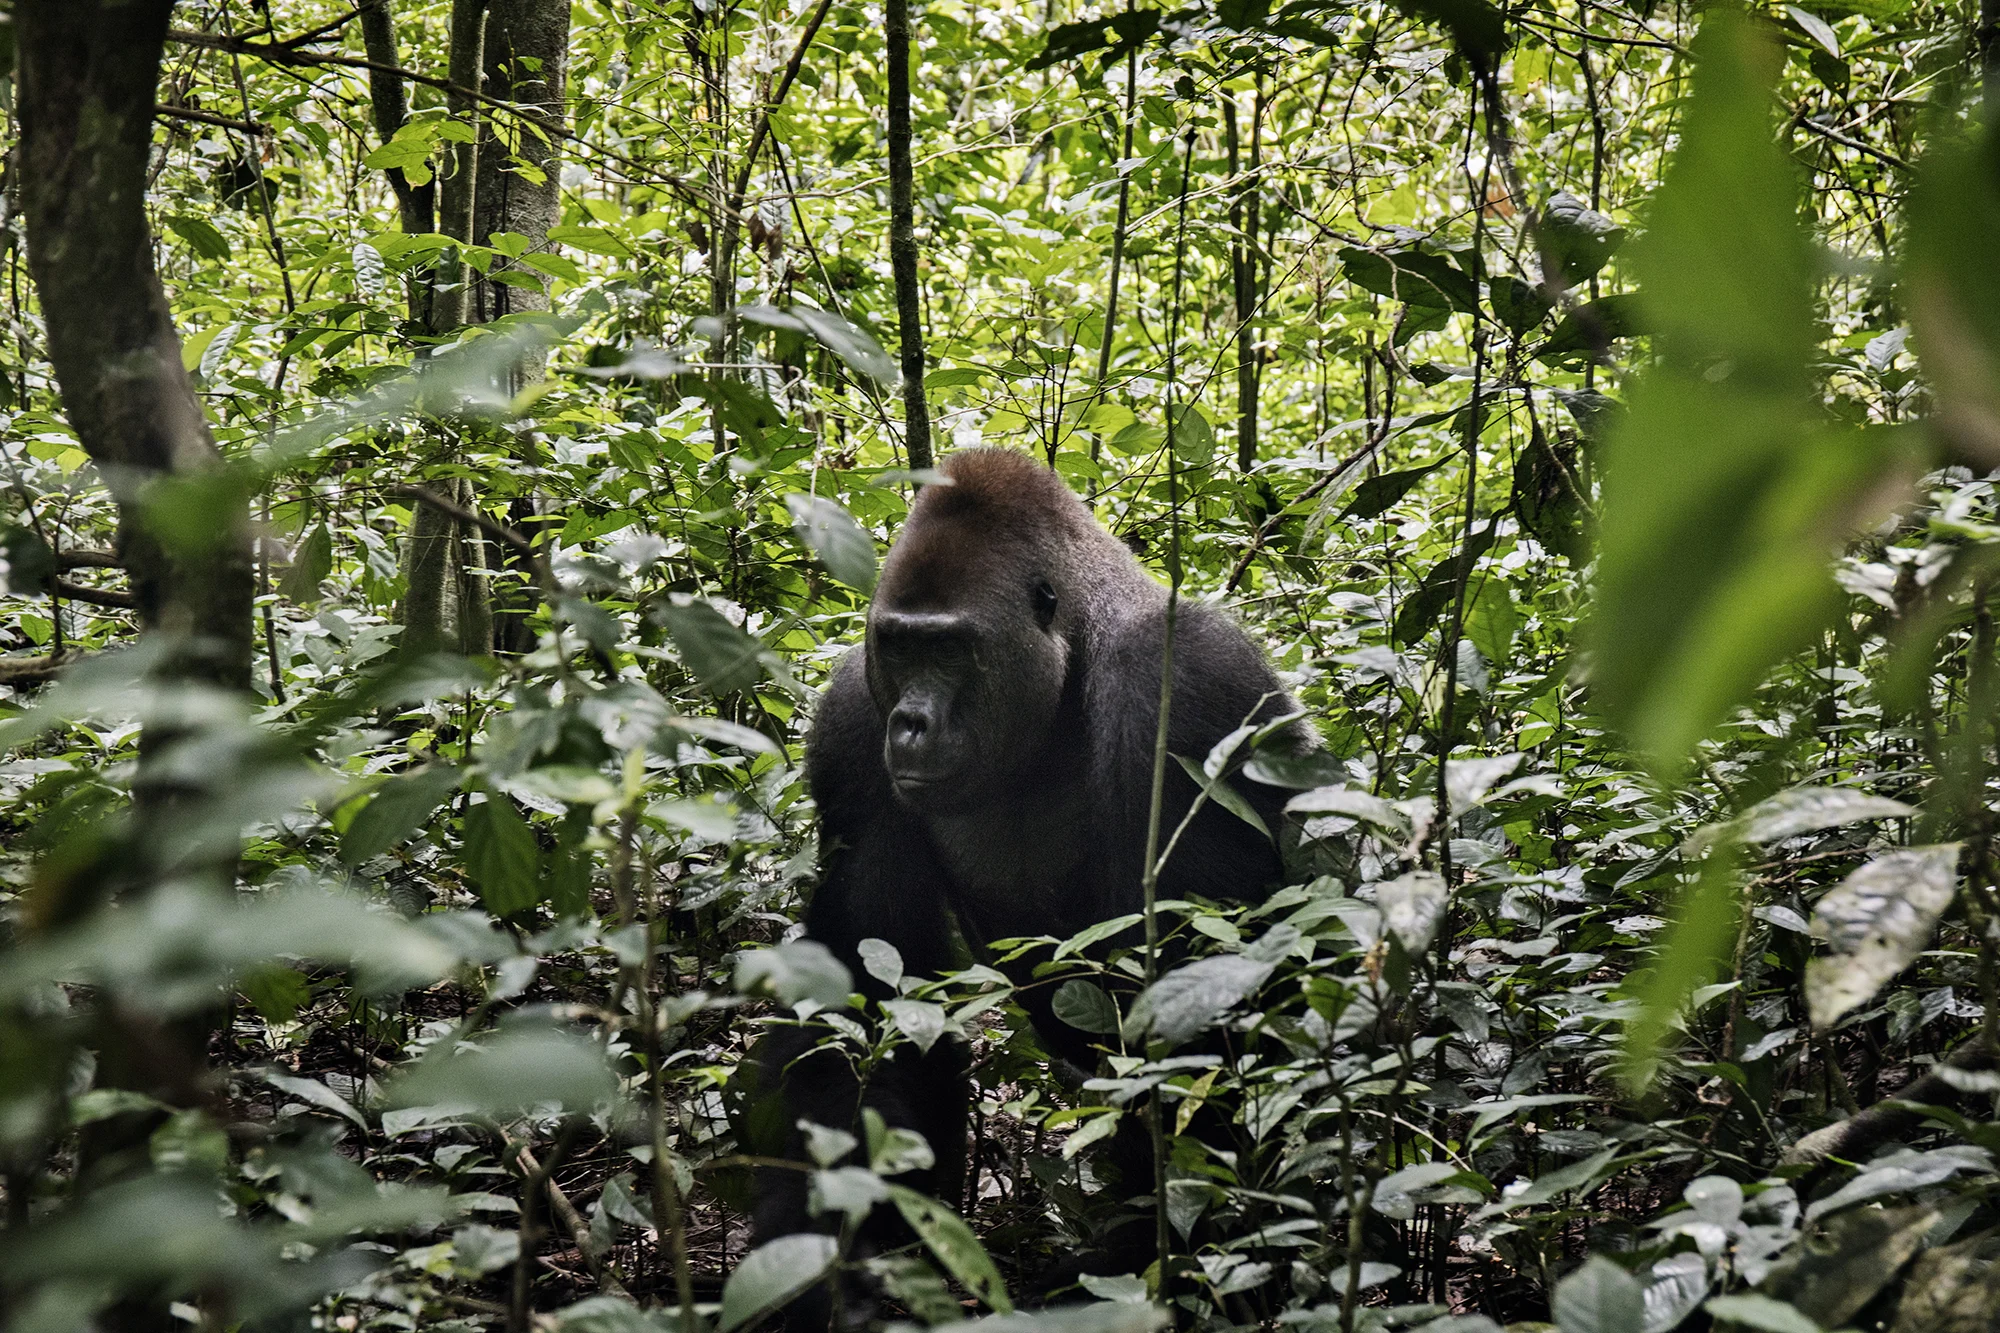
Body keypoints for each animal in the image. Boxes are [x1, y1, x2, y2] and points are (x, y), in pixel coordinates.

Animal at [743, 448, 1312, 1321]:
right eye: (899, 649)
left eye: (950, 651)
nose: (910, 722)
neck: (1071, 651)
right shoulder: (850, 717)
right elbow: (864, 989)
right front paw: (837, 1257)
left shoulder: (1187, 679)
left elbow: (1203, 1005)